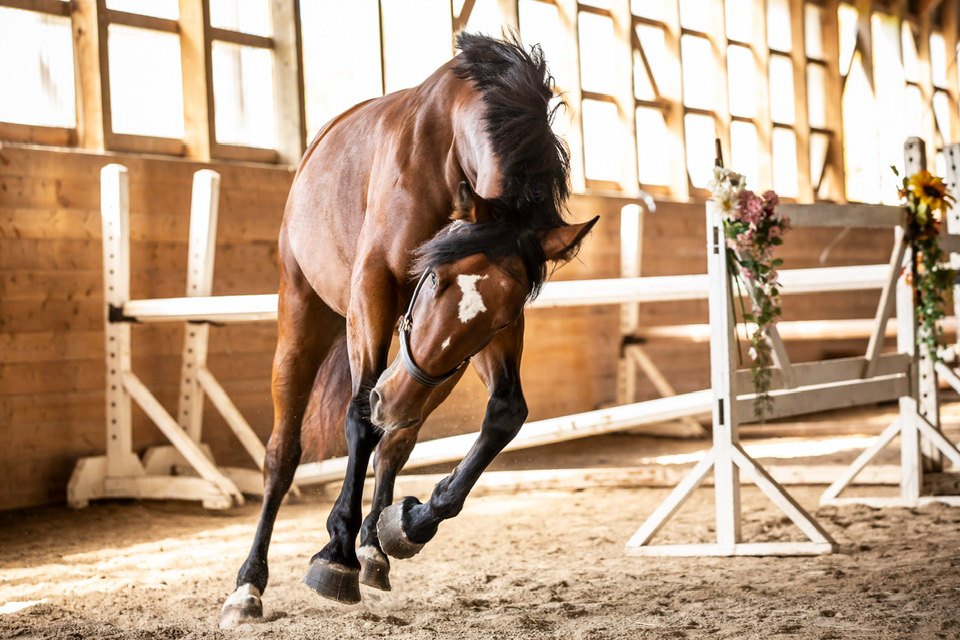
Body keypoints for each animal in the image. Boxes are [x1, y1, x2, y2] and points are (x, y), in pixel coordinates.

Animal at [219, 32, 599, 628]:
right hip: (305, 317)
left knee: (395, 443)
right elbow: (356, 420)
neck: (447, 145)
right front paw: (337, 553)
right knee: (285, 454)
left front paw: (405, 524)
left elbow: (505, 414)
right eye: (434, 276)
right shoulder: (372, 292)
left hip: (422, 372)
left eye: (504, 316)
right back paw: (249, 585)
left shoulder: (465, 344)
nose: (390, 401)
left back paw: (374, 545)